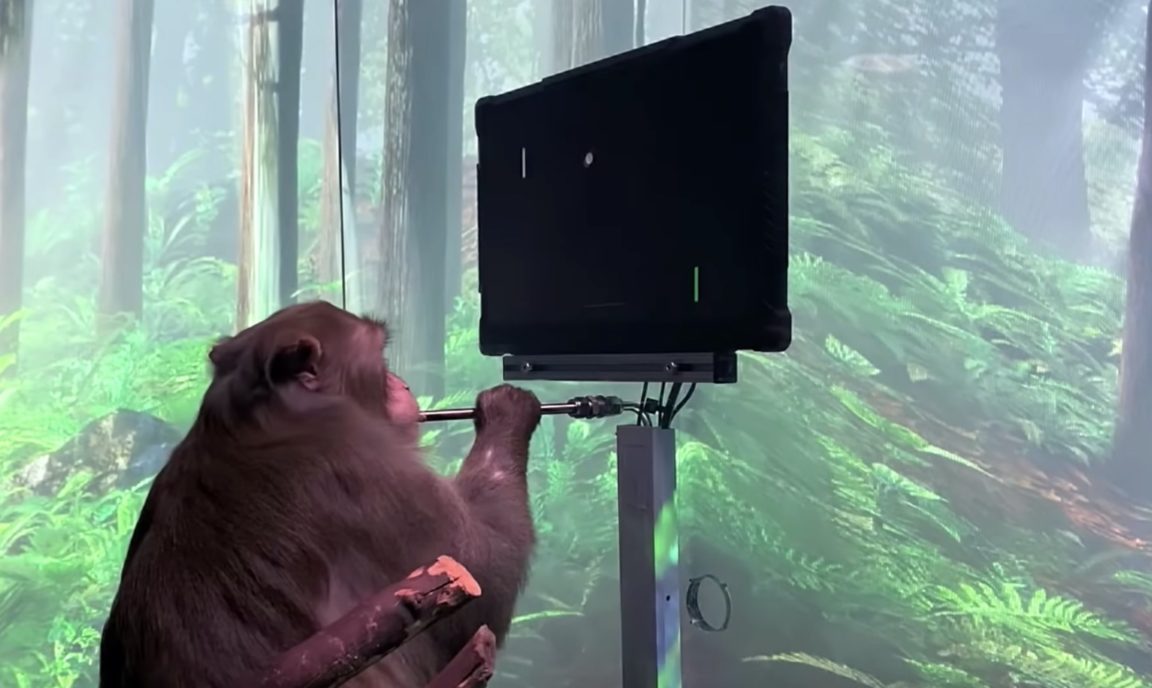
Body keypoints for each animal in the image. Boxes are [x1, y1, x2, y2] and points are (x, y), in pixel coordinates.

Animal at [98, 300, 541, 687]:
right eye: (380, 357)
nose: (402, 384)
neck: (267, 415)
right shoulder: (368, 464)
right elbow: (483, 577)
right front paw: (507, 411)